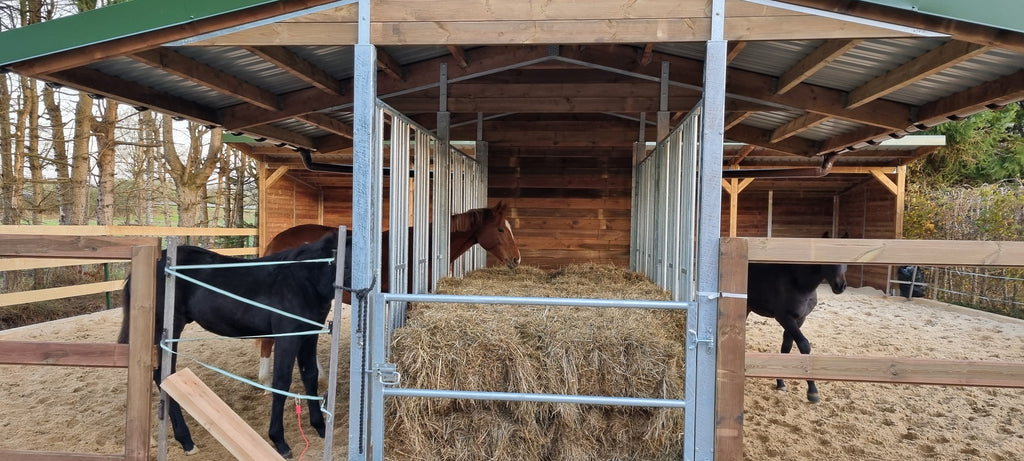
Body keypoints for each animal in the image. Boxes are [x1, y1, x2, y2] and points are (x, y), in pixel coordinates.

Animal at [117, 231, 346, 458]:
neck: (300, 281)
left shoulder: (308, 337)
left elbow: (310, 376)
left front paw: (320, 427)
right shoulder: (287, 338)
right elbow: (282, 382)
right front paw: (279, 441)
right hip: (167, 331)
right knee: (162, 375)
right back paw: (185, 441)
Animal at [746, 252, 847, 403]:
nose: (840, 285)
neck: (799, 283)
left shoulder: (800, 319)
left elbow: (786, 347)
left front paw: (781, 383)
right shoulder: (784, 318)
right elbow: (804, 345)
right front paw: (812, 392)